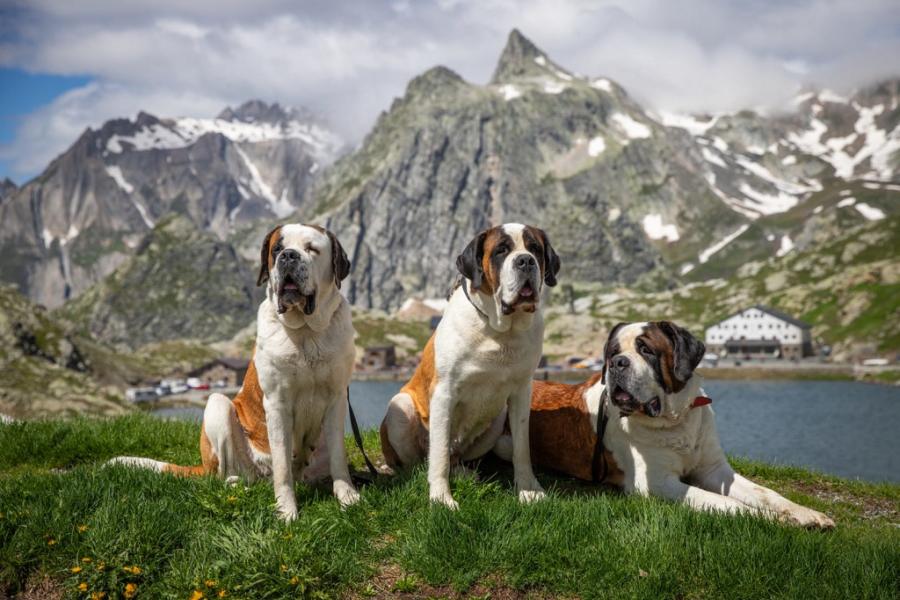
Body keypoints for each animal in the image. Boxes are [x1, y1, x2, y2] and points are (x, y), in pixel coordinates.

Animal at [492, 322, 836, 528]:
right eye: (613, 352)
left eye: (646, 349)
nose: (617, 363)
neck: (676, 419)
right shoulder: (656, 482)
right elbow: (721, 501)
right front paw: (770, 519)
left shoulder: (716, 470)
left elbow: (765, 492)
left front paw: (806, 514)